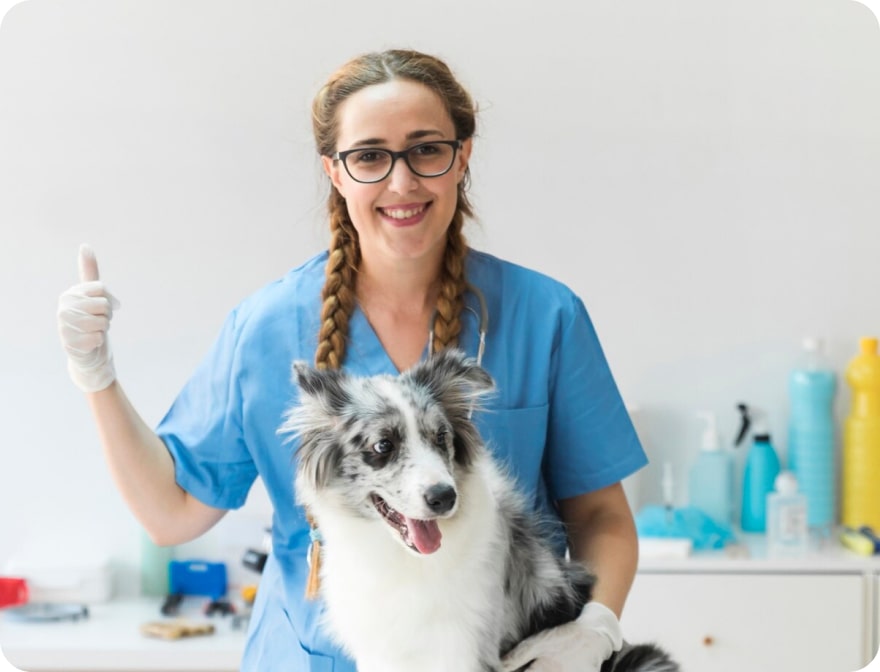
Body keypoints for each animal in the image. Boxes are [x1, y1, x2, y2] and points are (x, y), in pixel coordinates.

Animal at [282, 352, 680, 672]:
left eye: (441, 437)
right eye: (383, 445)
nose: (444, 497)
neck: (407, 562)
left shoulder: (464, 647)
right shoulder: (381, 651)